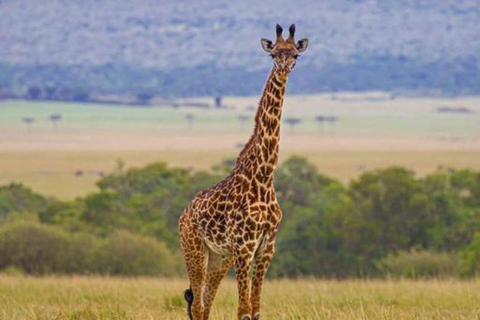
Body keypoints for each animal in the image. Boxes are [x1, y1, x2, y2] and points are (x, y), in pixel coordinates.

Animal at [179, 23, 308, 320]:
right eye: (273, 54)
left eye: (295, 55)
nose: (284, 69)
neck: (264, 177)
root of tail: (183, 215)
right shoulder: (244, 247)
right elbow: (244, 311)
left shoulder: (266, 249)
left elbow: (256, 311)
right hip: (195, 250)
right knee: (198, 305)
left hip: (220, 257)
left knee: (205, 304)